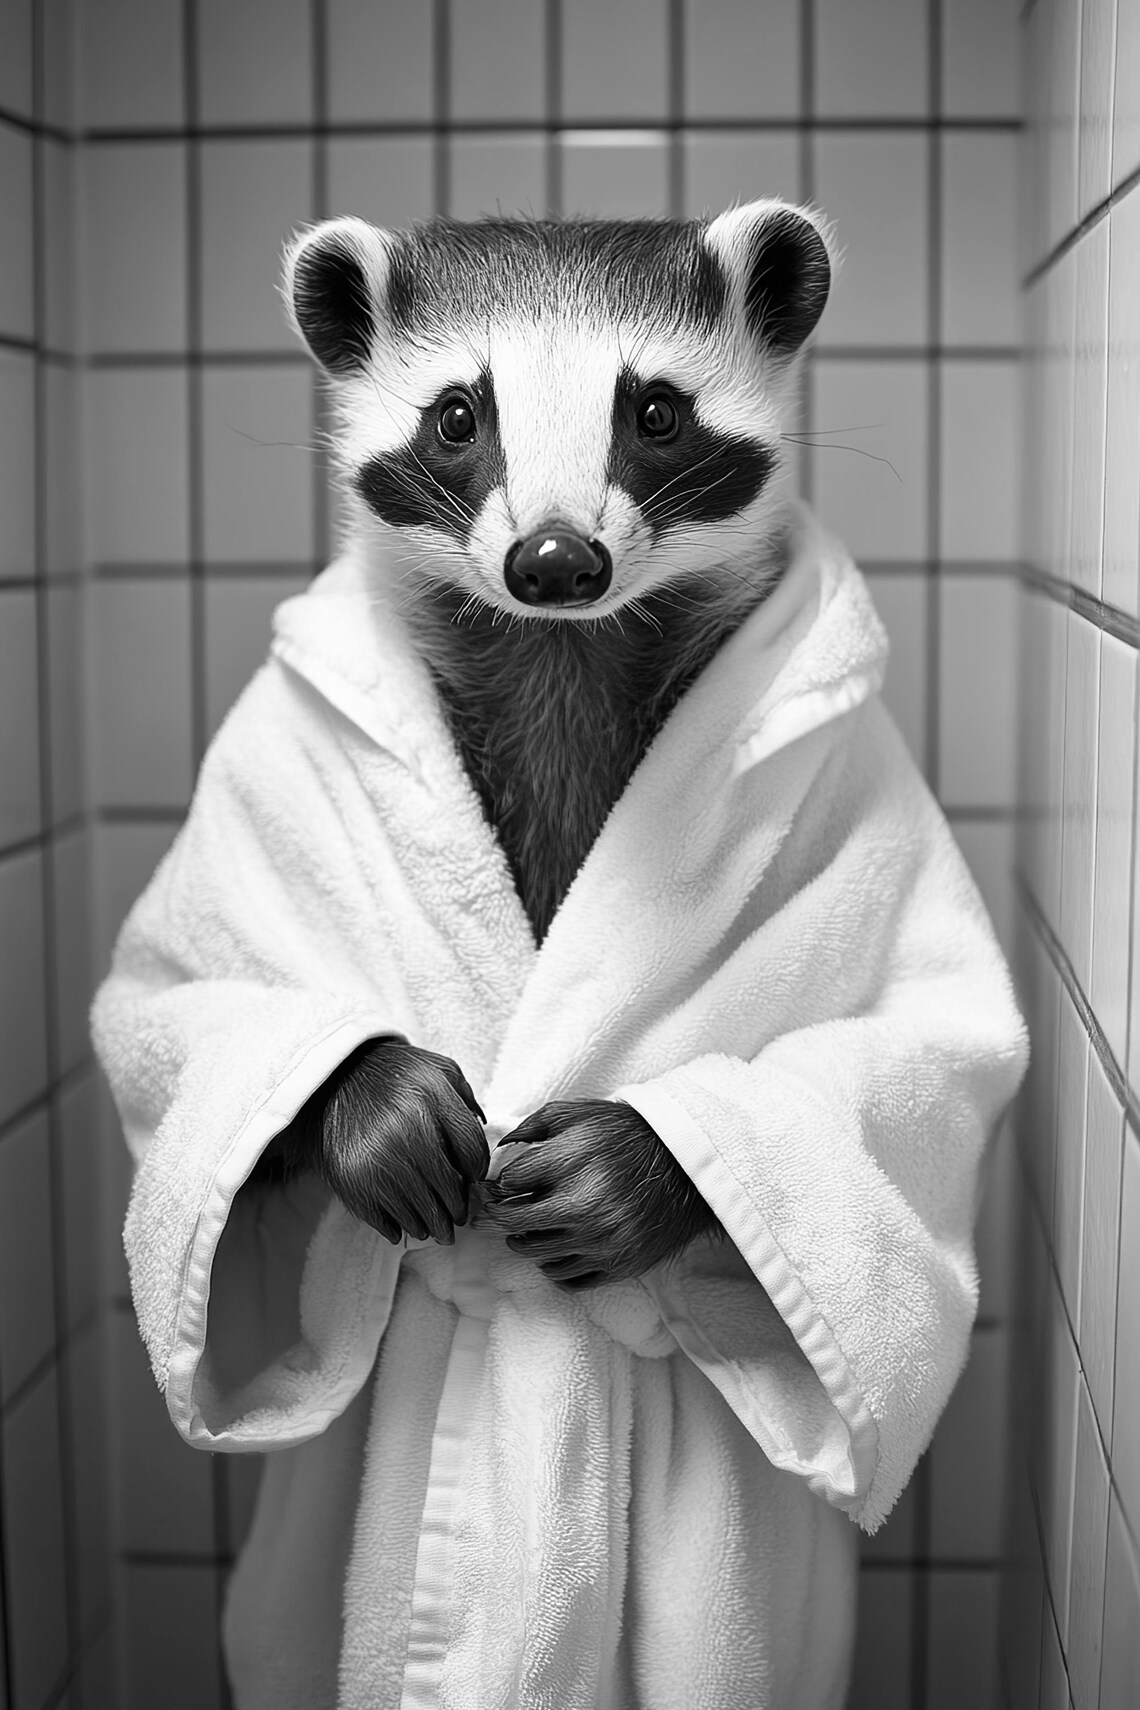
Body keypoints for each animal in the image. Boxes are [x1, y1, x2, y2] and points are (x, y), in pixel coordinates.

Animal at [269, 201, 832, 1290]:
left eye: (656, 412)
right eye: (457, 416)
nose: (559, 559)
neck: (561, 645)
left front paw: (642, 1166)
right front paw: (371, 1091)